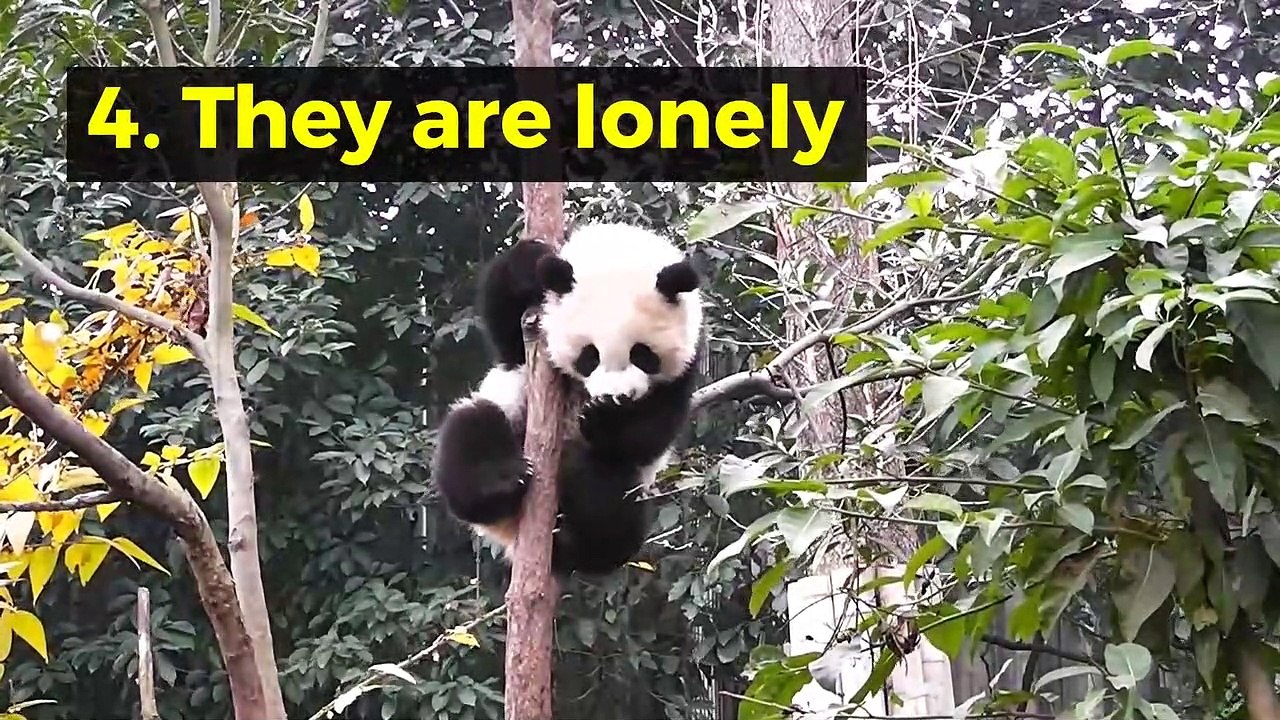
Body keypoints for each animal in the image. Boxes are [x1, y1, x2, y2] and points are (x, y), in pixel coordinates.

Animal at [431, 222, 704, 576]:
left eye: (643, 354)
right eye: (589, 356)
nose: (615, 395)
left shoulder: (685, 365)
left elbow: (653, 428)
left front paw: (605, 418)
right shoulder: (526, 336)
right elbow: (505, 328)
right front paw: (529, 261)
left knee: (610, 502)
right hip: (505, 414)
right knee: (471, 431)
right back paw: (503, 482)